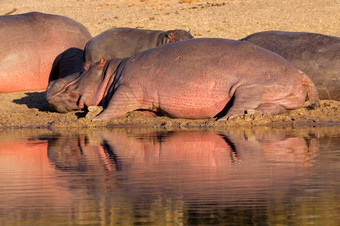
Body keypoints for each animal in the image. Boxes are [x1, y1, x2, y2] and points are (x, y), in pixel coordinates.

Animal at [46, 38, 320, 121]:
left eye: (86, 66)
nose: (50, 83)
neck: (112, 72)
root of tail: (299, 72)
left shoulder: (127, 87)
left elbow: (113, 106)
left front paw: (94, 118)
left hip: (249, 87)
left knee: (240, 105)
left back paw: (224, 119)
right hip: (278, 97)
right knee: (271, 108)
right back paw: (251, 115)